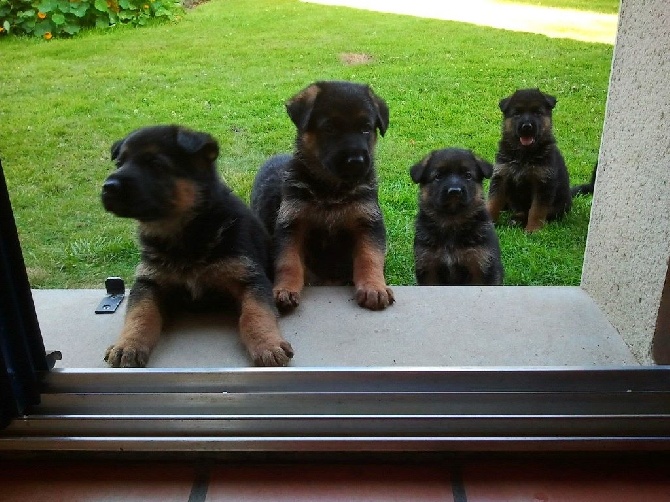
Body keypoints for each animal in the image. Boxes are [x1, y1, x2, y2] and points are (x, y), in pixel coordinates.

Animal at [101, 124, 294, 368]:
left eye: (156, 164)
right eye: (119, 164)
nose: (107, 187)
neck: (186, 234)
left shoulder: (250, 278)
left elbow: (256, 313)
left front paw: (268, 344)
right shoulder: (149, 282)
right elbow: (139, 314)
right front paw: (127, 346)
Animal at [252, 81, 394, 312]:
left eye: (365, 128)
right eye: (329, 128)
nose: (356, 161)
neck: (331, 191)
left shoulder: (368, 223)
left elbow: (369, 257)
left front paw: (374, 288)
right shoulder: (291, 225)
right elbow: (288, 261)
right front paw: (284, 290)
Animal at [410, 147, 504, 284]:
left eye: (468, 175)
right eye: (438, 176)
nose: (454, 191)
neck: (452, 220)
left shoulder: (481, 267)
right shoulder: (428, 267)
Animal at [486, 88, 576, 233]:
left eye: (537, 113)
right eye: (517, 113)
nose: (527, 126)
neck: (524, 154)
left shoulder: (543, 183)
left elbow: (536, 210)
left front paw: (533, 230)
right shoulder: (501, 176)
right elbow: (493, 202)